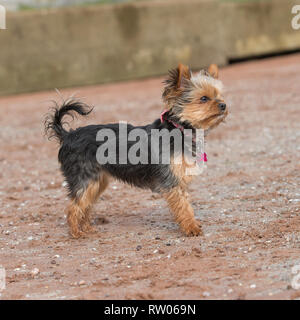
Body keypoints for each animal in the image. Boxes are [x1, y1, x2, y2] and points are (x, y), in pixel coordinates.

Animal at [45, 63, 227, 238]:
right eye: (204, 98)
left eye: (220, 96)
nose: (224, 105)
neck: (179, 129)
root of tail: (68, 135)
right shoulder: (171, 181)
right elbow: (183, 207)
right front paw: (191, 228)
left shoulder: (179, 180)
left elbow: (187, 205)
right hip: (86, 179)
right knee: (73, 208)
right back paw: (76, 233)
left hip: (97, 181)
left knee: (85, 205)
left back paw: (87, 228)